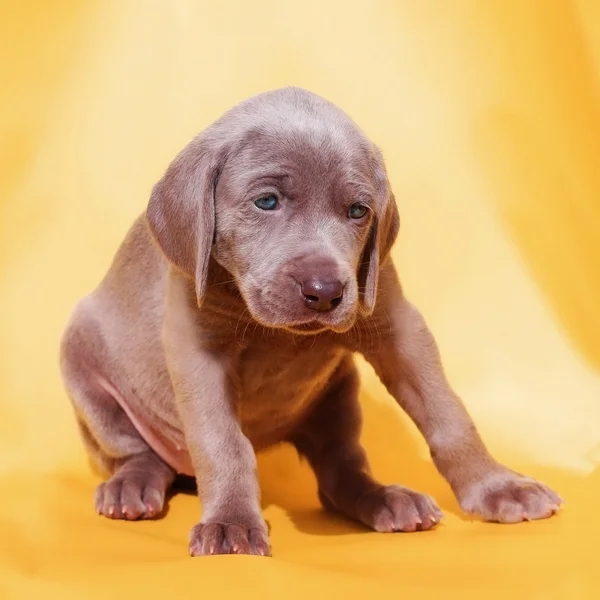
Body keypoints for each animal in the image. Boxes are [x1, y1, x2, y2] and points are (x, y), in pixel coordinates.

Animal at [61, 86, 564, 556]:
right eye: (266, 201)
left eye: (358, 211)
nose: (324, 292)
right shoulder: (196, 349)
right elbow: (223, 442)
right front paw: (231, 523)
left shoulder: (397, 327)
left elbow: (448, 414)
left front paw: (498, 487)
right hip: (80, 360)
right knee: (135, 453)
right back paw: (132, 487)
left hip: (337, 394)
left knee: (340, 472)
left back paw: (385, 501)